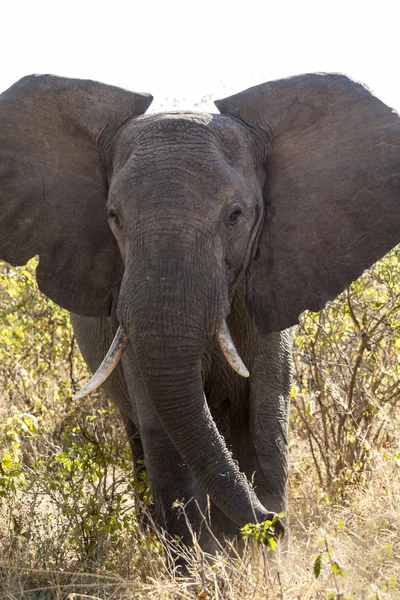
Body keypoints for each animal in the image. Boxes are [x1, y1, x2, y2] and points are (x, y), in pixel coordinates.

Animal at [0, 72, 400, 556]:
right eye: (113, 217)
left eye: (235, 215)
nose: (276, 525)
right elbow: (165, 431)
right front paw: (208, 564)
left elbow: (265, 417)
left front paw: (259, 558)